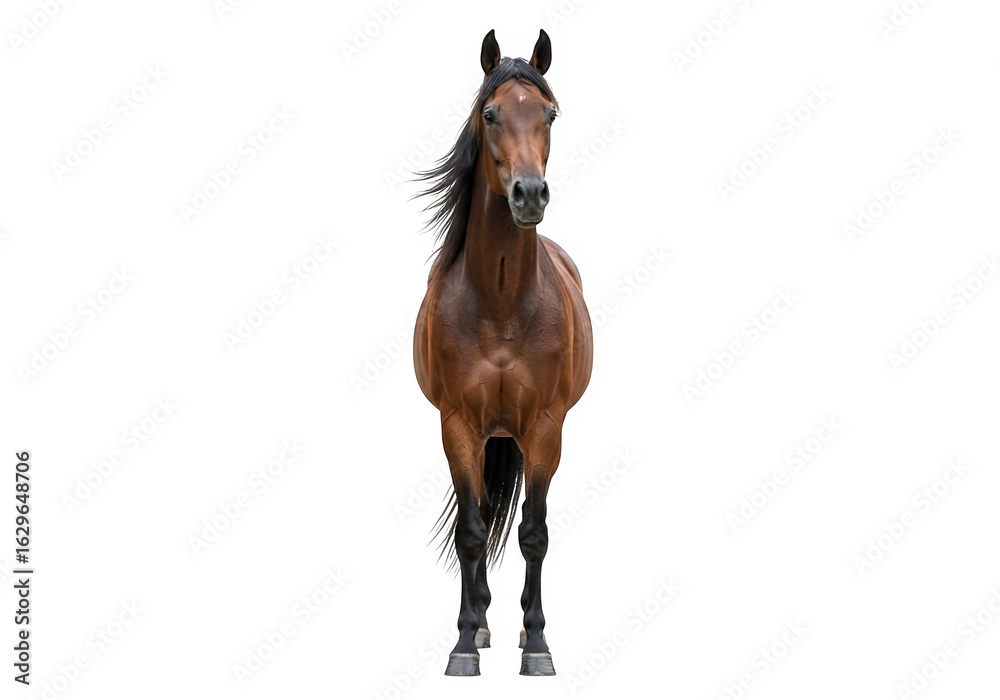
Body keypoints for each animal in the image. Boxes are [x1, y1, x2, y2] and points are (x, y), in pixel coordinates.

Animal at [412, 29, 594, 676]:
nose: (529, 194)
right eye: (489, 114)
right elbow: (471, 530)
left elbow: (533, 532)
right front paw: (465, 642)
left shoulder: (545, 427)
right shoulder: (458, 425)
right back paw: (485, 623)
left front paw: (536, 643)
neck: (499, 307)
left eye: (550, 113)